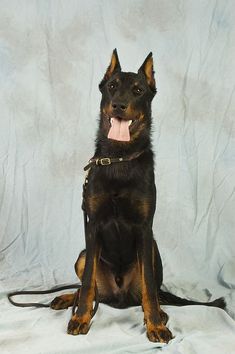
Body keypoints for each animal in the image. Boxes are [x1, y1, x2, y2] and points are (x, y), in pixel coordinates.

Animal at [51, 49, 226, 342]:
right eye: (112, 87)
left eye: (137, 90)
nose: (119, 105)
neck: (120, 157)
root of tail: (118, 297)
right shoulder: (93, 227)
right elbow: (86, 286)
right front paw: (81, 318)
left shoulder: (145, 229)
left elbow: (149, 290)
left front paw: (155, 325)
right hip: (84, 254)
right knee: (87, 288)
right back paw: (66, 298)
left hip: (153, 250)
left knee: (150, 292)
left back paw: (159, 313)